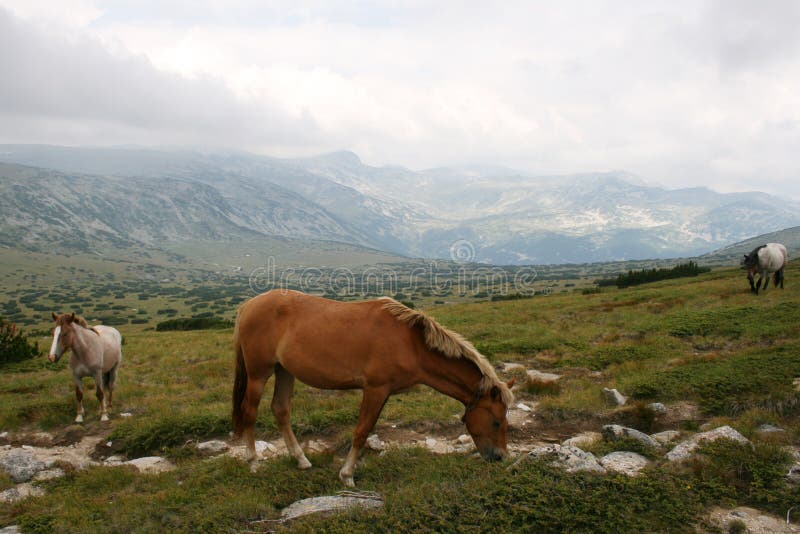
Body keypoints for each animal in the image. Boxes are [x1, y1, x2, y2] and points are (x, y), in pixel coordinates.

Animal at [234, 292, 516, 488]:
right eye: (496, 421)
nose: (500, 457)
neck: (411, 343)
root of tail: (248, 305)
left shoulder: (383, 393)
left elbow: (367, 430)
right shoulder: (375, 389)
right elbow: (361, 431)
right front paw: (347, 474)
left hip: (284, 371)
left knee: (280, 410)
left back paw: (301, 460)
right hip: (259, 373)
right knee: (250, 412)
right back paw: (253, 462)